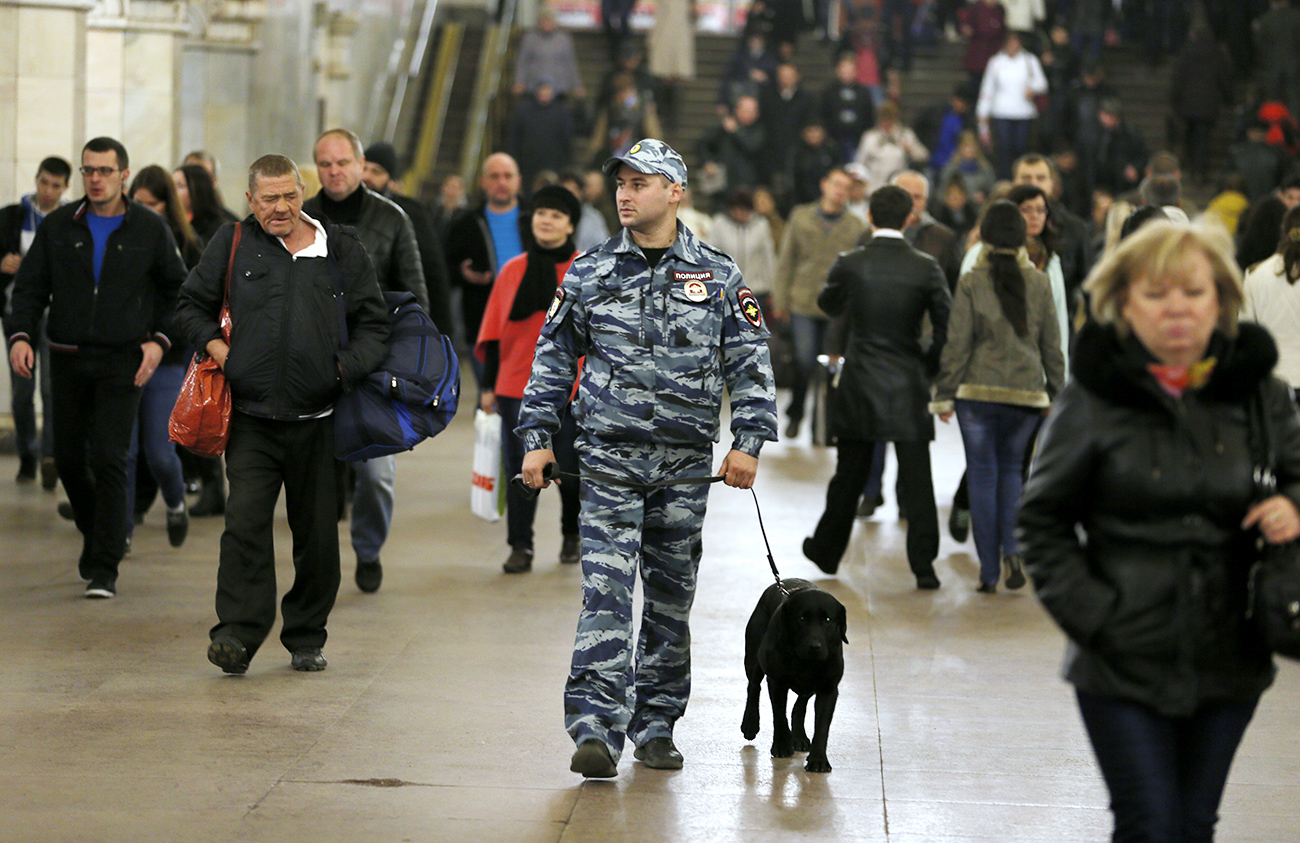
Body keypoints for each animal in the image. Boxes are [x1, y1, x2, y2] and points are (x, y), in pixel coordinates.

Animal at [738, 580, 847, 770]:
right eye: (802, 619)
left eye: (828, 620)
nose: (815, 646)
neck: (804, 662)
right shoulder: (777, 682)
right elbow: (779, 715)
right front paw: (782, 745)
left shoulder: (828, 689)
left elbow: (822, 727)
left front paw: (818, 759)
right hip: (754, 656)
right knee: (753, 687)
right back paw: (750, 723)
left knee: (799, 705)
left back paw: (799, 737)